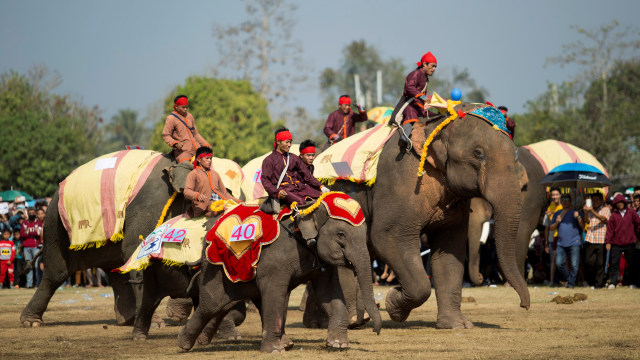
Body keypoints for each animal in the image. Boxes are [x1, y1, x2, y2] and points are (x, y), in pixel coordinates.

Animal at [178, 202, 382, 354]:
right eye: (341, 234)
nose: (375, 330)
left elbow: (328, 293)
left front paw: (339, 345)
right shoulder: (275, 259)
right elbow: (275, 292)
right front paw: (274, 351)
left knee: (229, 303)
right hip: (215, 267)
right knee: (212, 303)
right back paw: (184, 344)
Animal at [332, 104, 532, 330]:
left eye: (515, 155)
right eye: (478, 153)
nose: (524, 306)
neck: (435, 126)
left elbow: (450, 249)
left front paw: (457, 325)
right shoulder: (400, 183)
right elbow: (387, 237)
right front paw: (394, 305)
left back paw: (355, 320)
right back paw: (349, 321)